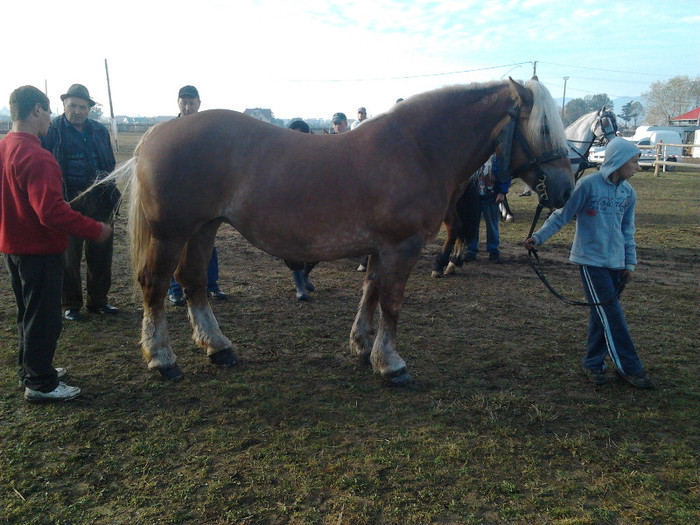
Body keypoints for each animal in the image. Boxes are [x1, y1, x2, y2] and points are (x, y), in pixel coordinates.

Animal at [117, 77, 572, 384]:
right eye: (543, 128)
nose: (565, 189)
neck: (416, 149)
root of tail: (158, 131)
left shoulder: (381, 247)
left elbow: (370, 291)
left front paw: (362, 345)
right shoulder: (401, 247)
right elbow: (391, 302)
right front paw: (391, 364)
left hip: (203, 228)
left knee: (193, 281)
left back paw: (218, 347)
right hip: (170, 233)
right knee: (155, 285)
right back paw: (162, 358)